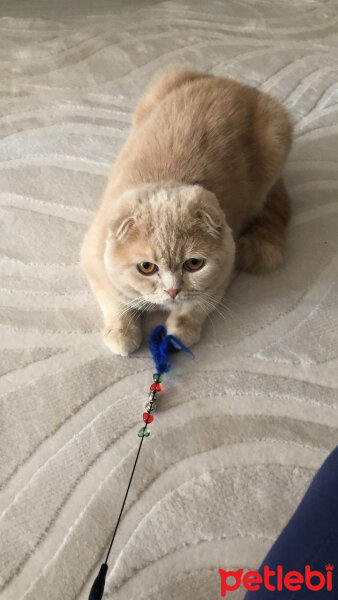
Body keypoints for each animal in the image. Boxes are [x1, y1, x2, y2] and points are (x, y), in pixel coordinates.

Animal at [80, 65, 292, 356]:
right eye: (147, 267)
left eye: (194, 264)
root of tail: (228, 82)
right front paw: (122, 332)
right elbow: (115, 300)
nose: (172, 291)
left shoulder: (227, 264)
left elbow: (200, 304)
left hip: (276, 137)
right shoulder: (93, 259)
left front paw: (181, 330)